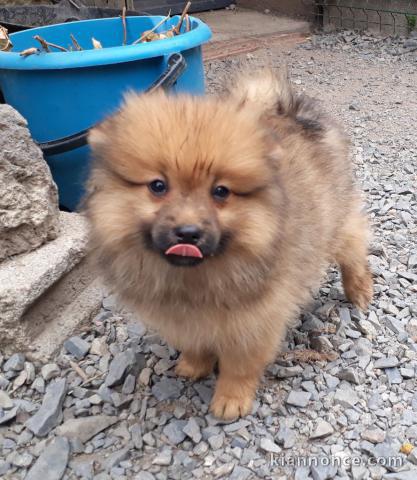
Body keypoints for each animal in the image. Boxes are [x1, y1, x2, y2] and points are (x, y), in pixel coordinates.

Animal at [86, 69, 372, 418]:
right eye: (158, 186)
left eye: (220, 191)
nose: (187, 232)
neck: (194, 279)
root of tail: (290, 111)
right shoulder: (180, 318)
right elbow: (195, 343)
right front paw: (194, 365)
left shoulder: (254, 322)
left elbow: (239, 366)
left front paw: (231, 399)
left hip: (335, 223)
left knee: (355, 241)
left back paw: (359, 290)